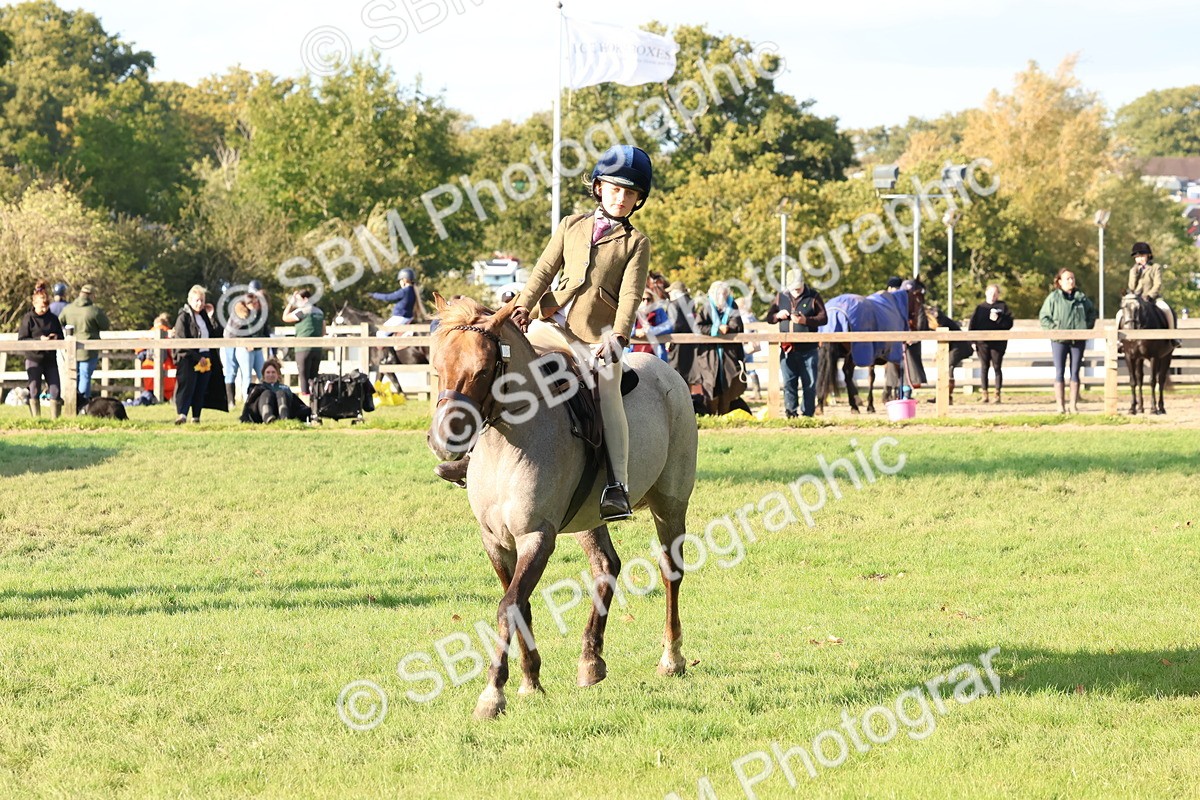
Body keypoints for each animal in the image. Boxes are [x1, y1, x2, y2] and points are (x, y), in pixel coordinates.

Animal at [427, 295, 697, 719]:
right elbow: (520, 605)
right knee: (606, 566)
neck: (509, 442)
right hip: (588, 517)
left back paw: (671, 658)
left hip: (669, 504)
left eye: (483, 369)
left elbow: (508, 606)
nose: (443, 441)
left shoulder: (536, 535)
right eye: (436, 366)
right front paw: (530, 681)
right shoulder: (495, 541)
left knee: (670, 569)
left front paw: (493, 693)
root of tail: (664, 369)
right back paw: (591, 660)